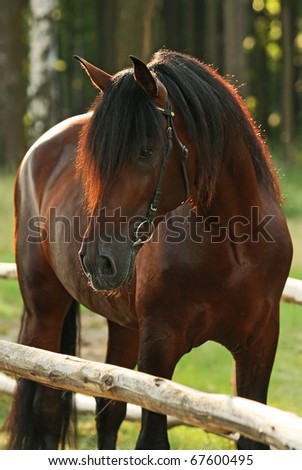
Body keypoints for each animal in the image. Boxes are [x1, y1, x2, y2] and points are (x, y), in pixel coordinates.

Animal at [7, 49, 292, 450]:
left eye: (146, 151)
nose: (97, 260)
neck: (236, 248)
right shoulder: (159, 350)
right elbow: (152, 437)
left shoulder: (260, 348)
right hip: (43, 314)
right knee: (47, 411)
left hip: (123, 326)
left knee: (108, 411)